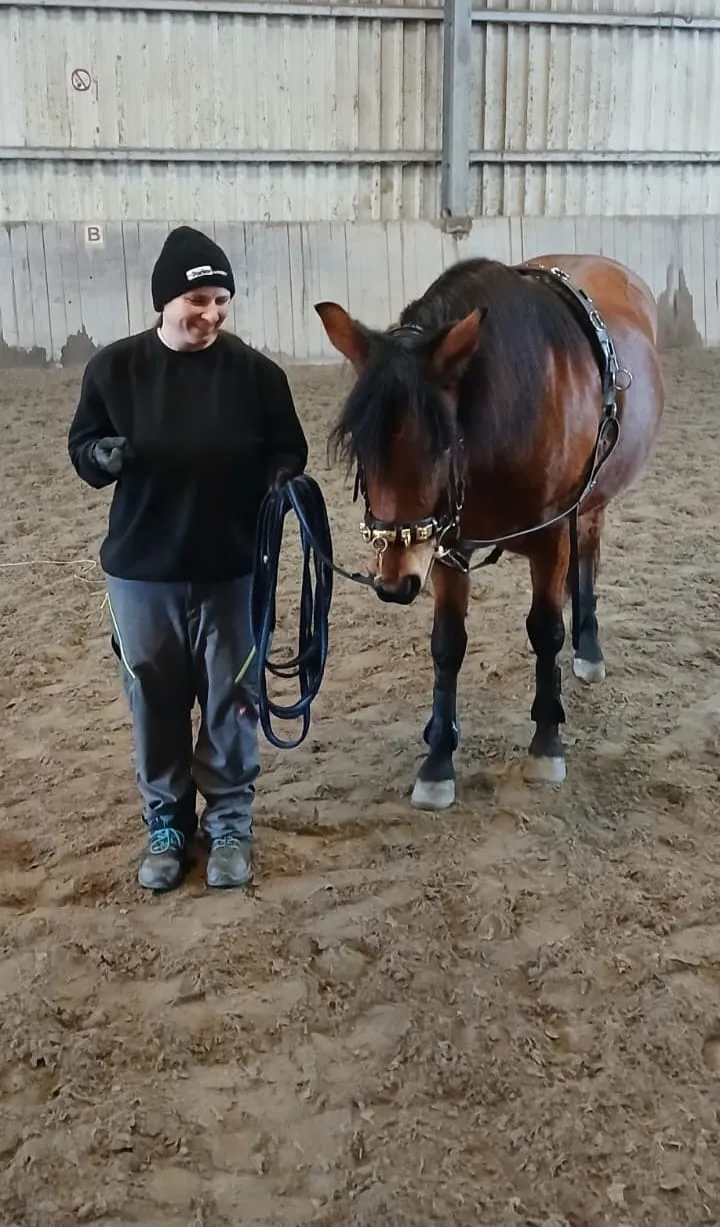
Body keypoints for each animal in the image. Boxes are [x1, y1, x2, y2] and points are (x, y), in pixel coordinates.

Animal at [314, 253, 664, 809]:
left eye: (441, 445)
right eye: (361, 450)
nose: (394, 582)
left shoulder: (550, 536)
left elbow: (545, 630)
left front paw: (547, 743)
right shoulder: (445, 544)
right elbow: (447, 644)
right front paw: (438, 758)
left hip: (589, 505)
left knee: (587, 555)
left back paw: (587, 649)